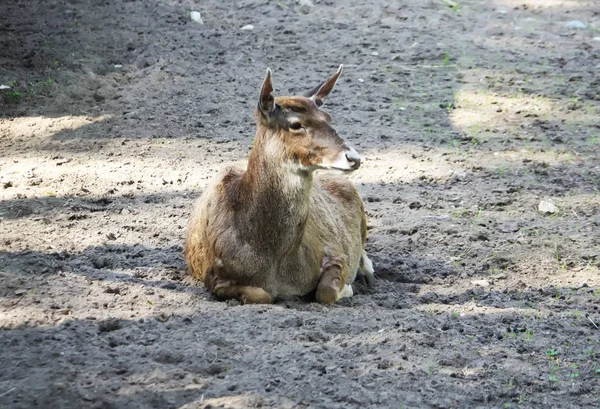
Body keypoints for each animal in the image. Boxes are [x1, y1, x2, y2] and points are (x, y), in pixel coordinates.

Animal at [185, 65, 376, 302]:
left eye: (328, 117)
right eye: (295, 124)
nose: (354, 158)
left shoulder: (334, 249)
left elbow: (325, 291)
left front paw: (348, 287)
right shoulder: (214, 275)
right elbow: (261, 295)